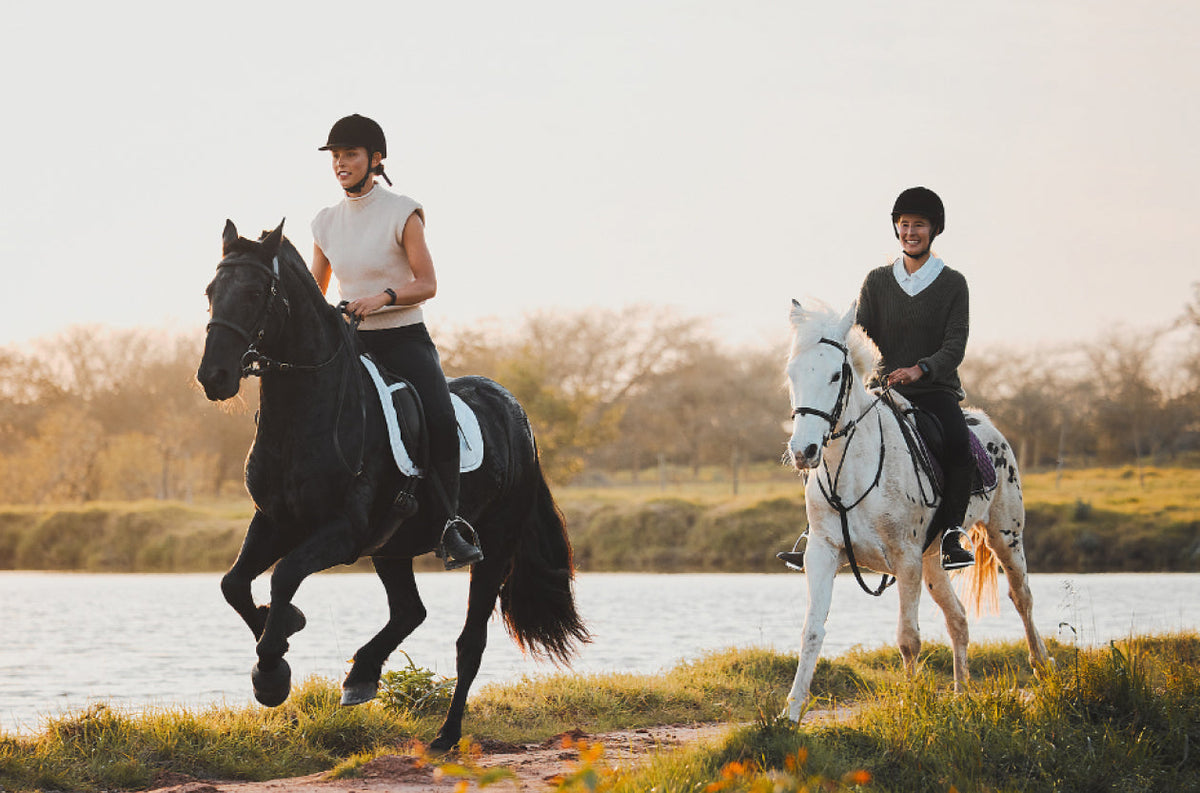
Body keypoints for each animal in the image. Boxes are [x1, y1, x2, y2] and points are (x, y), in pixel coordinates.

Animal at [197, 220, 589, 750]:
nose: (213, 377)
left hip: (493, 546)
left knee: (469, 642)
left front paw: (272, 674)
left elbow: (283, 576)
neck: (306, 415)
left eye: (257, 292)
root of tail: (515, 411)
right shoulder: (275, 521)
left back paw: (445, 735)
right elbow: (234, 583)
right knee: (410, 611)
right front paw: (281, 636)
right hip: (393, 547)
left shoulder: (343, 531)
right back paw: (361, 674)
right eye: (211, 292)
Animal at [781, 298, 1049, 720]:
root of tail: (986, 423)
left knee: (1022, 598)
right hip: (934, 560)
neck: (851, 469)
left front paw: (911, 707)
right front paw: (790, 714)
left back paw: (1044, 671)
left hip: (1005, 538)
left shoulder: (904, 559)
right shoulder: (822, 553)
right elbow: (812, 631)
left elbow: (907, 638)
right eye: (792, 373)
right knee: (958, 619)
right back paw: (961, 694)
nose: (803, 452)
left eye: (836, 374)